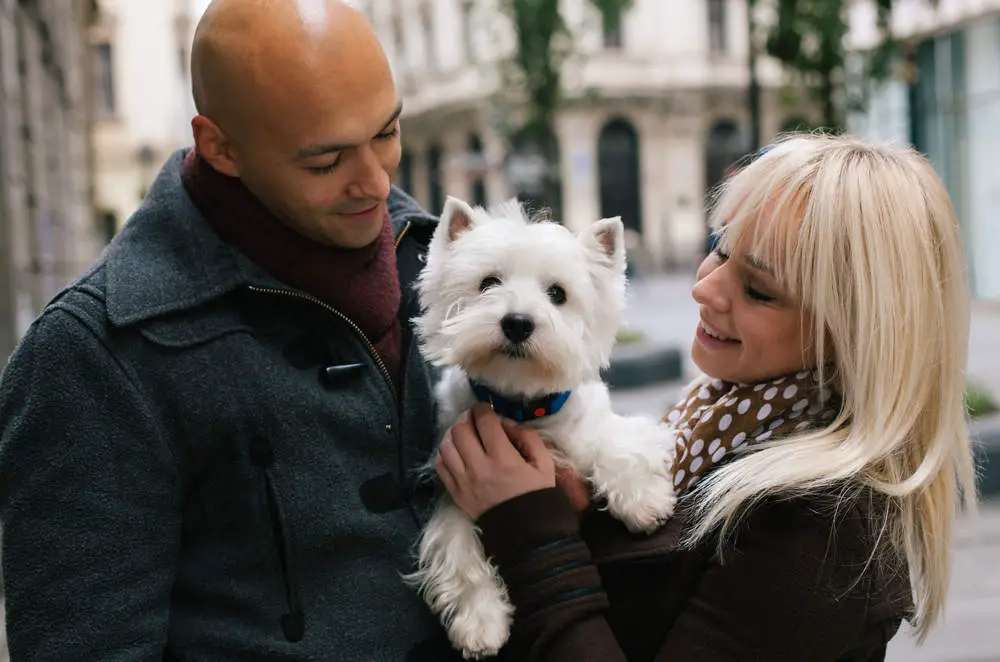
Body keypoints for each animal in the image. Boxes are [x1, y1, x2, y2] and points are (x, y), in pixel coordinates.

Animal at [406, 196, 680, 660]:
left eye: (557, 294)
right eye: (488, 283)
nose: (517, 322)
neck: (523, 407)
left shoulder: (608, 424)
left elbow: (617, 444)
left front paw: (644, 504)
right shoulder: (452, 485)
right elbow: (457, 548)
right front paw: (481, 624)